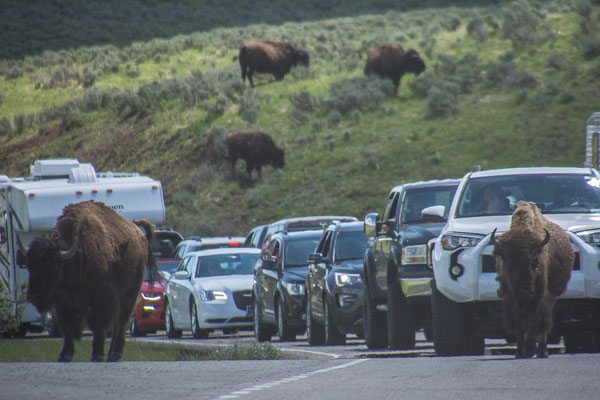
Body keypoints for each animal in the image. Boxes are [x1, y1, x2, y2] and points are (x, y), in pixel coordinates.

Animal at [23, 202, 157, 360]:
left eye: (52, 265)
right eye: (29, 266)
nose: (34, 295)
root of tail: (138, 232)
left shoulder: (100, 299)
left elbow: (98, 325)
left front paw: (97, 355)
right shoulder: (64, 303)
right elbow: (67, 328)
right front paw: (65, 355)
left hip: (130, 294)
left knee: (121, 321)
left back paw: (115, 353)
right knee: (118, 322)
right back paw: (111, 354)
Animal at [490, 202, 576, 360]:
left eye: (535, 262)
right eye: (509, 263)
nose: (525, 291)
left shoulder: (538, 296)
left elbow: (534, 321)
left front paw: (529, 350)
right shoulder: (512, 297)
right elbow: (520, 324)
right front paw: (519, 352)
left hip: (551, 295)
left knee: (544, 321)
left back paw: (542, 351)